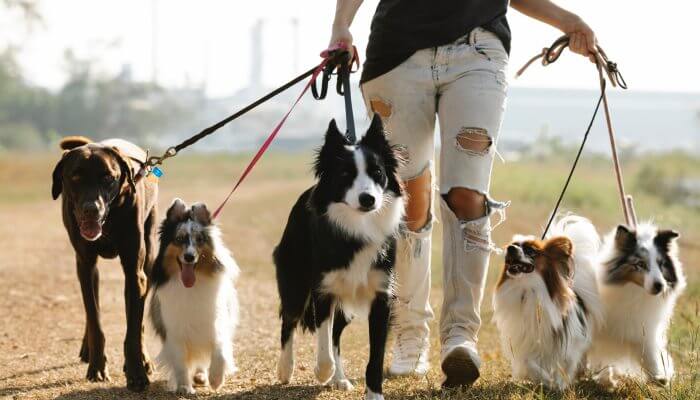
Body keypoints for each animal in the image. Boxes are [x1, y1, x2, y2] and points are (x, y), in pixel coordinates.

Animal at [51, 137, 158, 390]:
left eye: (108, 178)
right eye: (75, 177)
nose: (91, 209)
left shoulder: (134, 273)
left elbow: (133, 330)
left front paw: (137, 373)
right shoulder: (85, 265)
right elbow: (95, 321)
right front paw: (97, 367)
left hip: (148, 258)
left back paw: (144, 359)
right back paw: (87, 348)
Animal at [149, 198, 239, 392]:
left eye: (199, 239)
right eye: (179, 239)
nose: (189, 257)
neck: (191, 286)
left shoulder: (216, 323)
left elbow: (220, 352)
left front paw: (216, 379)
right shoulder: (174, 332)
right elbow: (181, 363)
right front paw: (184, 387)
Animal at [274, 113, 404, 400]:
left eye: (377, 173)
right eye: (345, 174)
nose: (368, 199)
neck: (357, 226)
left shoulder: (382, 296)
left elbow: (375, 357)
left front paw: (373, 394)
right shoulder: (324, 290)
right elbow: (323, 345)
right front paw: (322, 372)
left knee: (335, 334)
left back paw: (340, 378)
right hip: (295, 281)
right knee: (289, 321)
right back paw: (286, 369)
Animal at [492, 216, 600, 390]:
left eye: (531, 251)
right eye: (513, 245)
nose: (510, 248)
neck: (527, 289)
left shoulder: (570, 342)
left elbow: (564, 365)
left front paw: (559, 384)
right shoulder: (525, 340)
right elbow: (529, 363)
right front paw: (545, 380)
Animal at [588, 222, 688, 388]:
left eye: (661, 264)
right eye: (640, 264)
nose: (660, 286)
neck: (634, 293)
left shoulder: (642, 330)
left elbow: (650, 355)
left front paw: (660, 377)